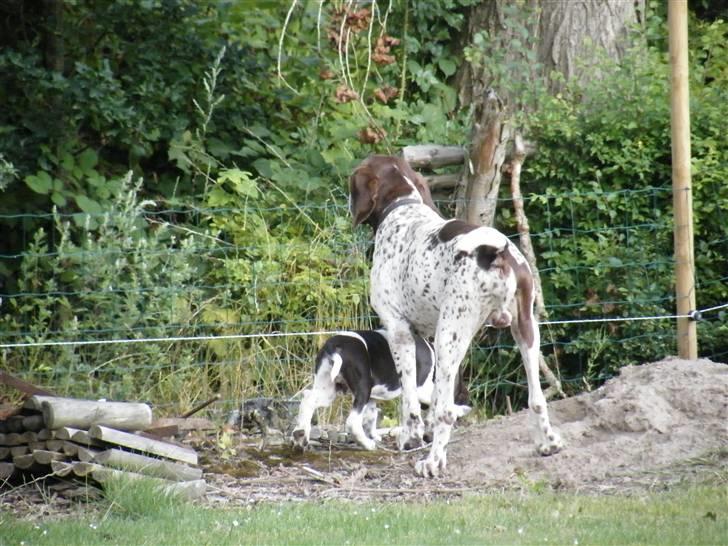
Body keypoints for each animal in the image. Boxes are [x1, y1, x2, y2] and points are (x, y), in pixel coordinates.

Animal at [292, 328, 472, 450]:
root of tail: (336, 346)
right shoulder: (422, 391)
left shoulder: (373, 399)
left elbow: (372, 417)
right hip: (362, 388)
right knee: (352, 422)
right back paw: (367, 444)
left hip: (328, 390)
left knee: (307, 399)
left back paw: (300, 436)